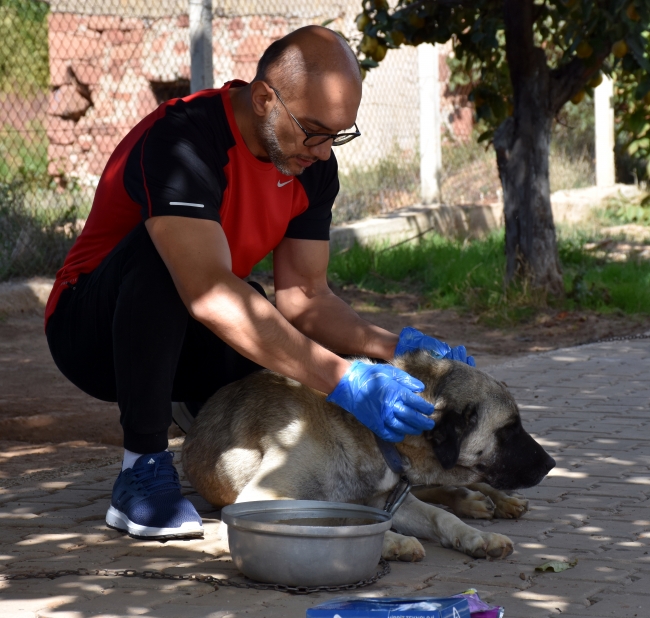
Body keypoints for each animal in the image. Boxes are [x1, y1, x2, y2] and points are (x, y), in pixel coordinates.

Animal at [181, 348, 552, 560]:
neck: (371, 435)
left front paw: (477, 537)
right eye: (509, 429)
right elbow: (333, 517)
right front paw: (394, 541)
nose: (551, 464)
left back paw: (492, 500)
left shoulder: (393, 498)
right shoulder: (257, 501)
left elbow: (441, 517)